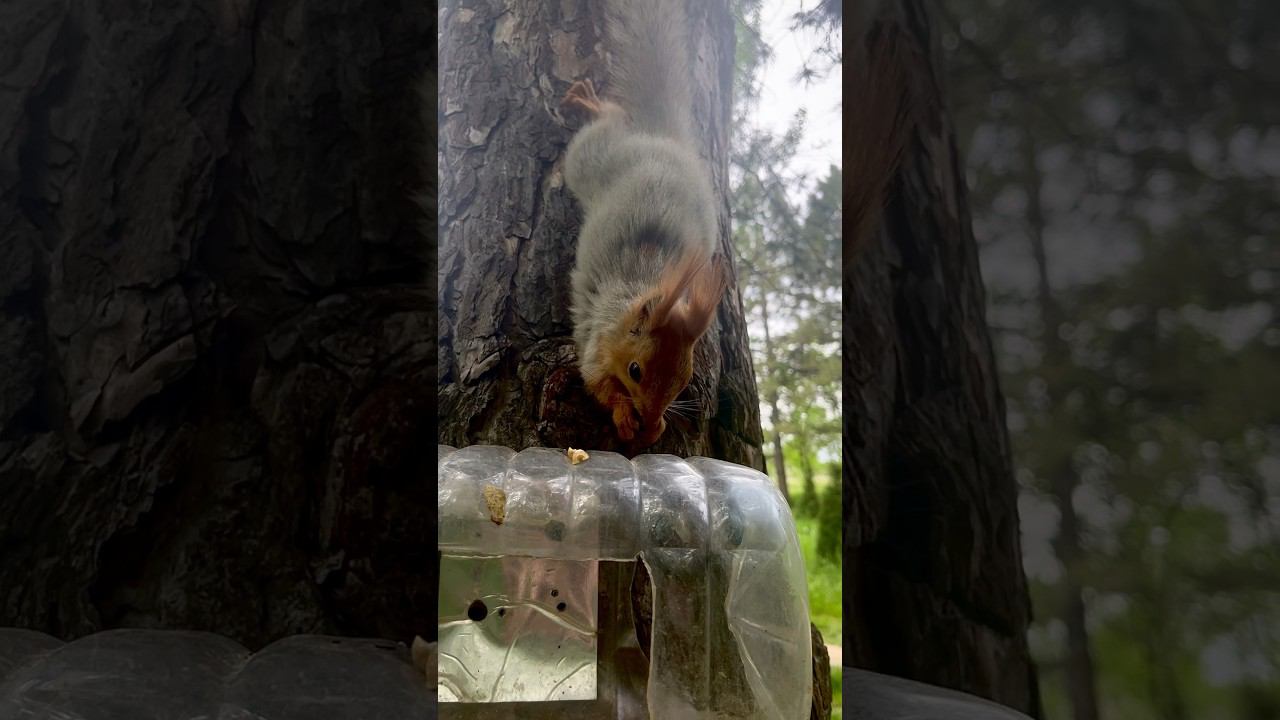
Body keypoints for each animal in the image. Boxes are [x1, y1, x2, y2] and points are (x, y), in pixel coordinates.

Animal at [560, 0, 728, 449]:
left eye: (685, 380)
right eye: (635, 371)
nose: (651, 415)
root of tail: (662, 139)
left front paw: (656, 426)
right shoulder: (596, 341)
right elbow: (598, 384)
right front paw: (624, 415)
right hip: (590, 159)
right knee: (608, 122)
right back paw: (590, 103)